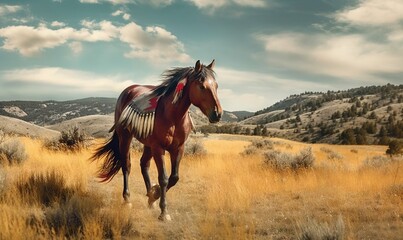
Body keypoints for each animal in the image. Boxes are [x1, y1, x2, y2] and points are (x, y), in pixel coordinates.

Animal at [91, 60, 223, 221]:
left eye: (216, 86)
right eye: (201, 86)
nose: (217, 114)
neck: (173, 116)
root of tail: (128, 90)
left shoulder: (178, 148)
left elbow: (174, 177)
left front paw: (154, 194)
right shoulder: (158, 147)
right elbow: (164, 178)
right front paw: (163, 211)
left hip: (147, 144)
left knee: (144, 164)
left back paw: (150, 198)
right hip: (126, 137)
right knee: (126, 165)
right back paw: (127, 199)